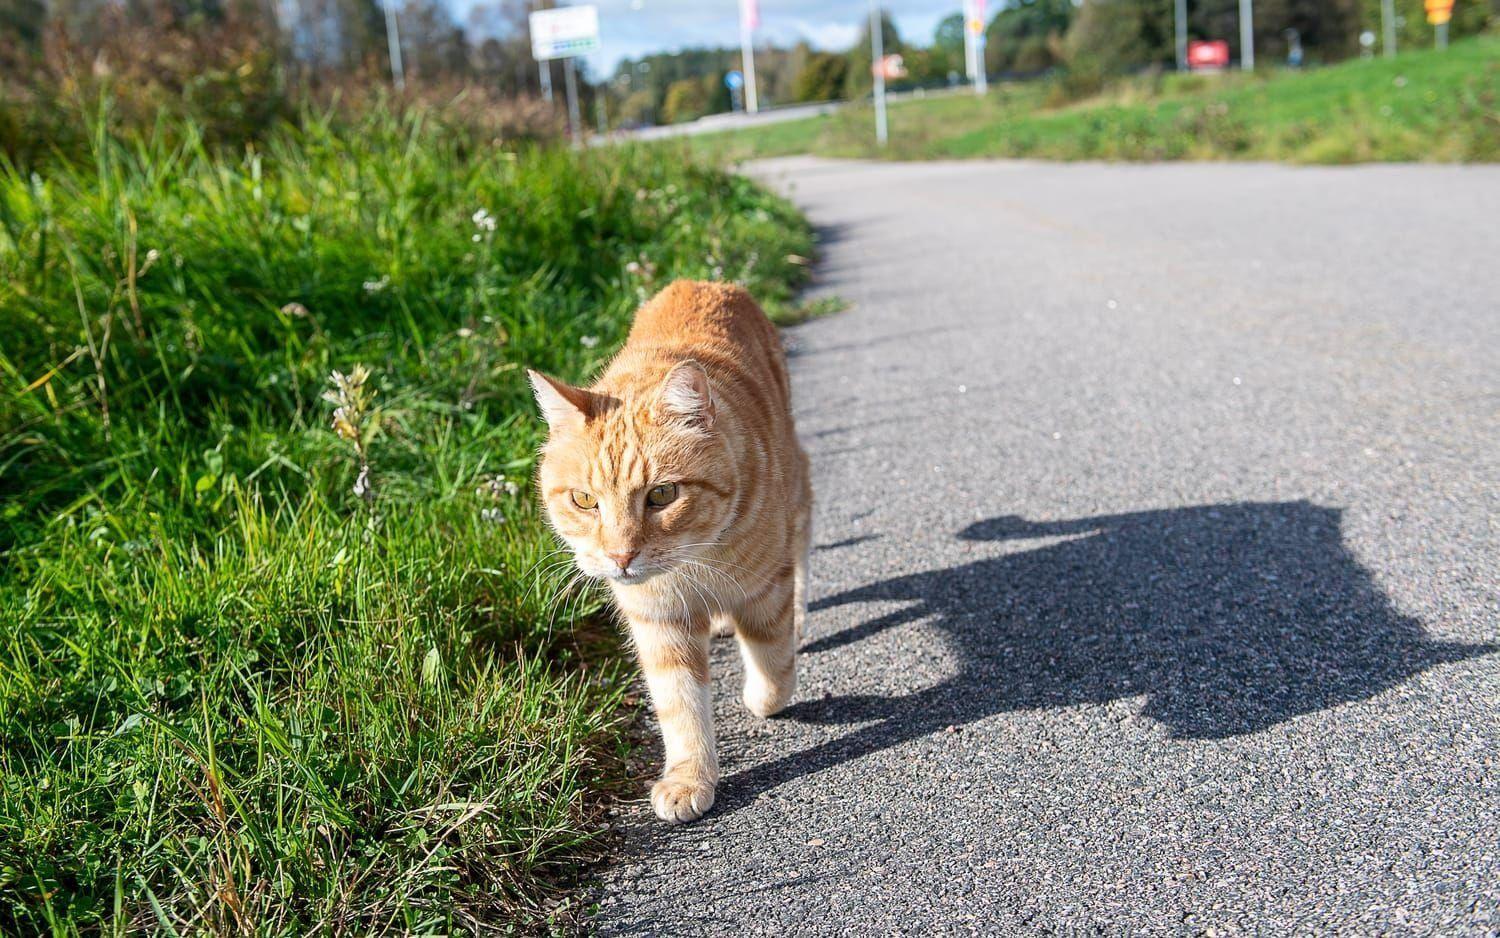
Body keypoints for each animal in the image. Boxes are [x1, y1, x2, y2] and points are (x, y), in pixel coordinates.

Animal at [528, 277, 810, 816]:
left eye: (661, 495)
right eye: (583, 500)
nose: (620, 557)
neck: (695, 560)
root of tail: (702, 280)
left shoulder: (766, 589)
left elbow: (772, 660)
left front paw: (762, 698)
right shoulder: (658, 619)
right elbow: (680, 704)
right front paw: (689, 777)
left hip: (798, 487)